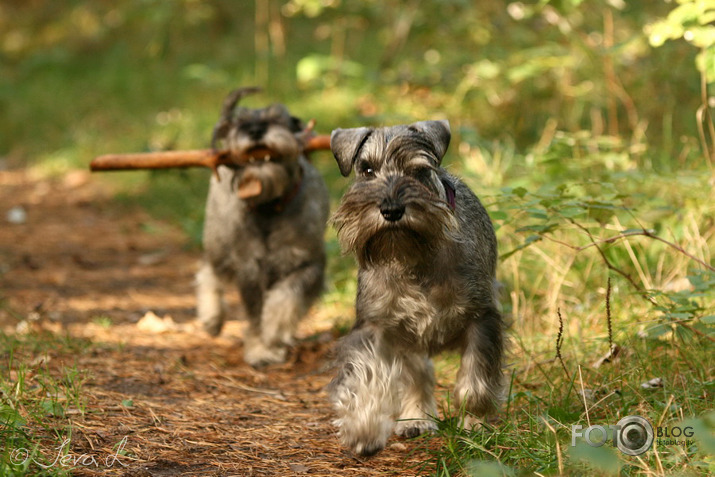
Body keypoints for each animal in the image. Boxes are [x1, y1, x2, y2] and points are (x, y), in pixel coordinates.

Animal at [196, 87, 330, 366]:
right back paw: (211, 317)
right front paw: (260, 348)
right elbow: (255, 312)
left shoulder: (308, 264)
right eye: (239, 122)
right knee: (208, 270)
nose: (256, 130)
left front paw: (274, 333)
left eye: (277, 118)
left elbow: (287, 297)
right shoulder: (250, 267)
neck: (269, 205)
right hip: (219, 243)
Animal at [328, 119, 506, 454]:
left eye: (418, 170)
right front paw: (363, 429)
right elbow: (369, 378)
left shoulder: (481, 318)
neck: (412, 257)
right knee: (418, 377)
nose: (391, 209)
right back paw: (416, 418)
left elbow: (475, 380)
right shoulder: (378, 326)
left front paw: (475, 422)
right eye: (367, 170)